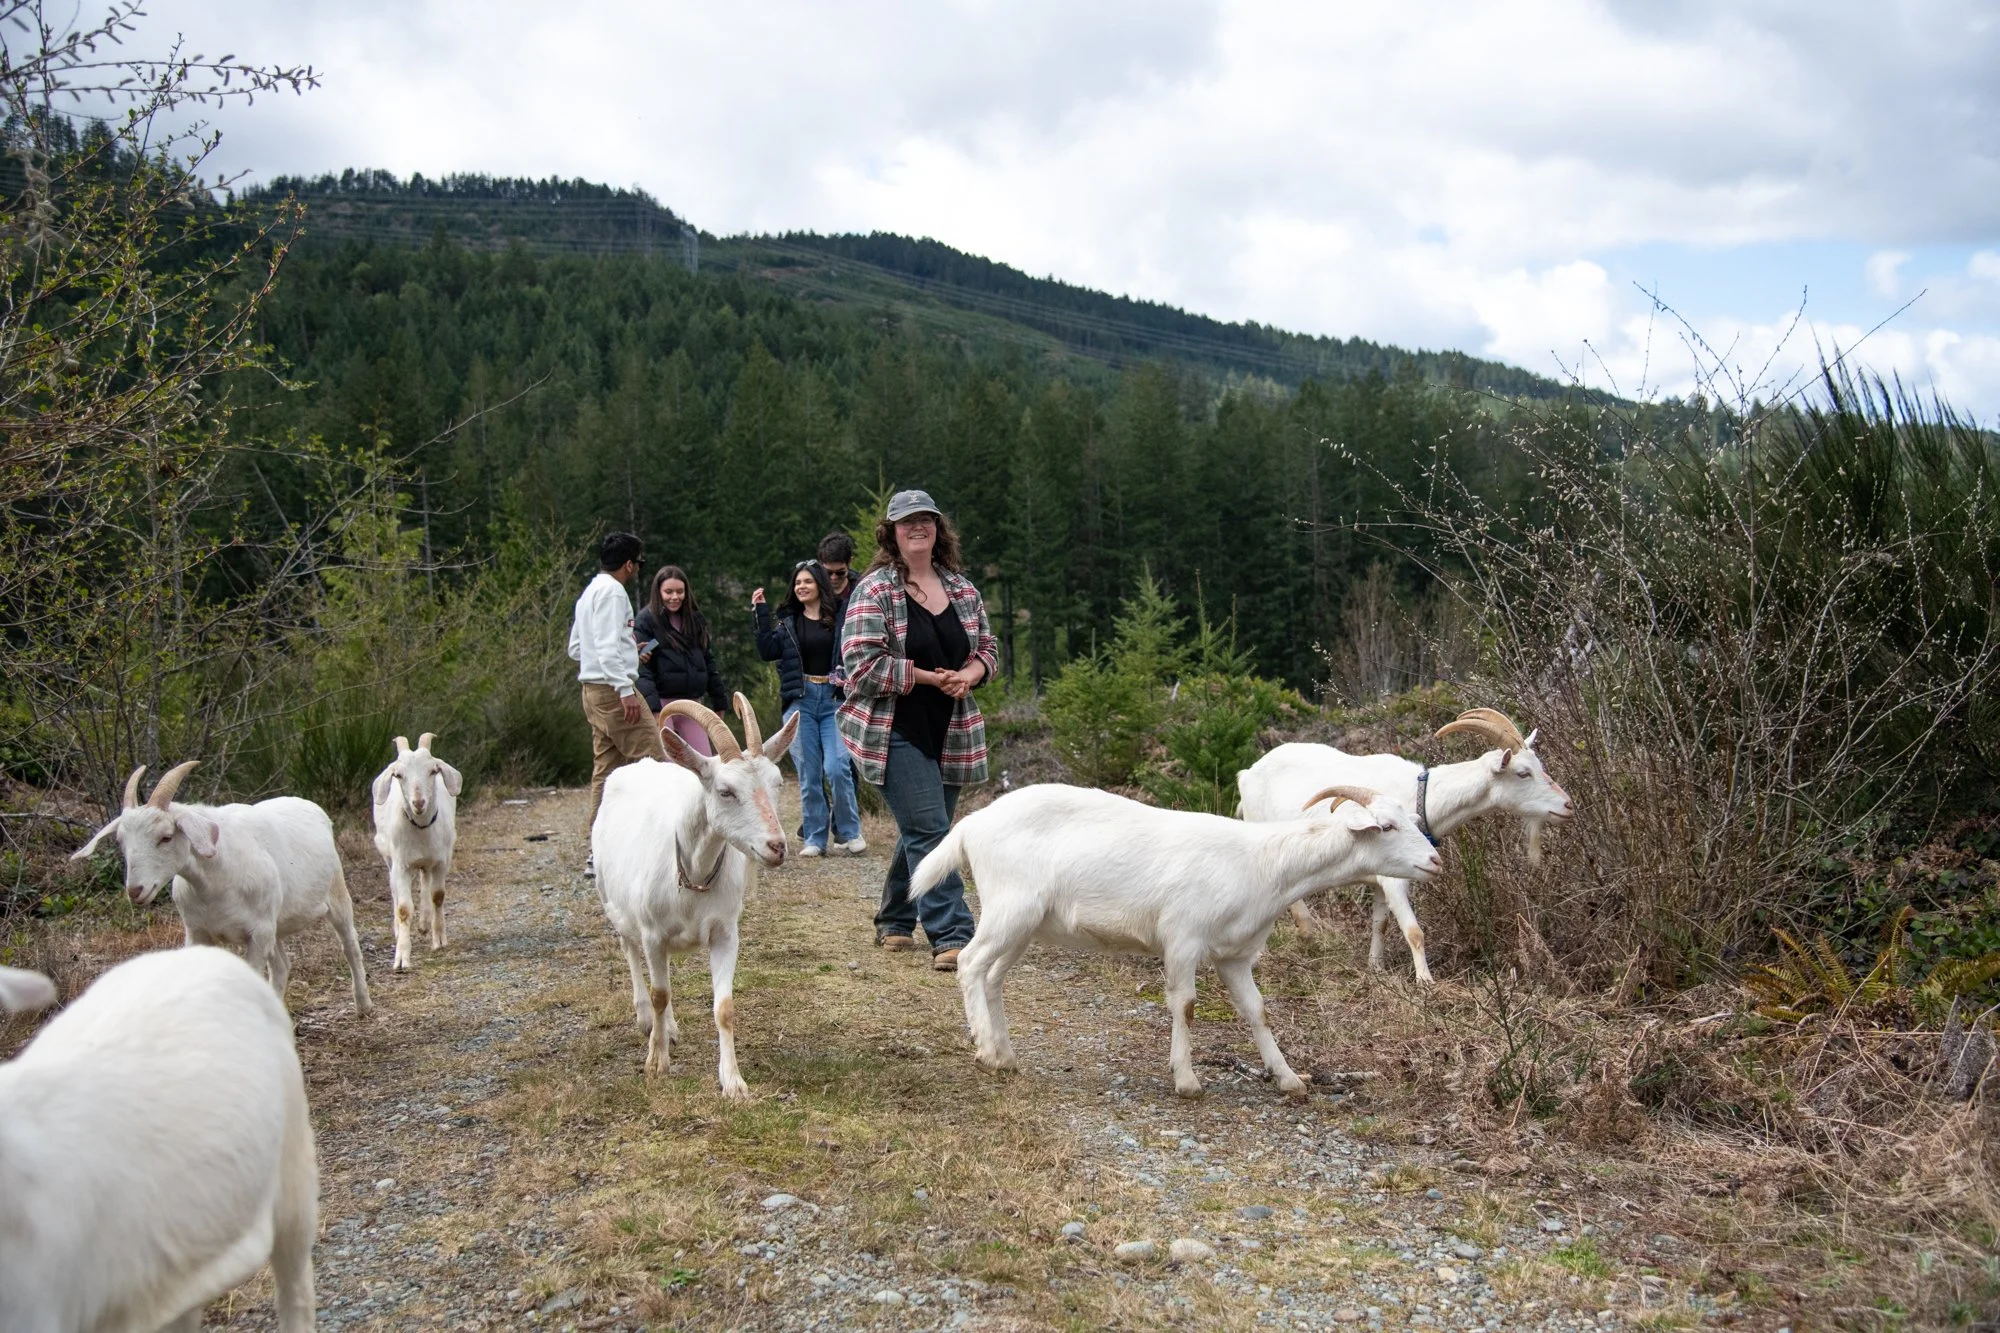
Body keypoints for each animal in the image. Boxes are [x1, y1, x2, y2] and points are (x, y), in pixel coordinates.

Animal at [71, 762, 374, 1016]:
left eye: (166, 837)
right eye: (121, 841)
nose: (136, 890)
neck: (215, 882)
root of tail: (309, 804)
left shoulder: (257, 935)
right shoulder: (198, 932)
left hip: (336, 895)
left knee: (350, 945)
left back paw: (363, 1005)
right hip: (274, 923)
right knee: (281, 967)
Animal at [371, 732, 463, 971]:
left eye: (433, 771)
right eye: (398, 775)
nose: (419, 802)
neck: (421, 827)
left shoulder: (442, 860)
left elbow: (437, 896)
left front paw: (439, 939)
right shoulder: (401, 865)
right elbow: (404, 908)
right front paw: (402, 958)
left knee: (425, 880)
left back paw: (424, 923)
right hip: (388, 856)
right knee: (394, 888)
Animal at [592, 693, 799, 1098]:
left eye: (778, 782)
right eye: (725, 791)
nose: (777, 847)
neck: (694, 874)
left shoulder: (725, 933)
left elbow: (724, 1008)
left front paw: (733, 1082)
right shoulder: (653, 934)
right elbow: (660, 994)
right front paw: (656, 1063)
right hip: (613, 901)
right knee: (631, 954)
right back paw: (649, 1020)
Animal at [909, 783, 1442, 1097]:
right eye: (1386, 826)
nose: (1435, 862)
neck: (1264, 863)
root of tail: (972, 824)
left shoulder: (1236, 954)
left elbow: (1258, 1011)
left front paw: (1288, 1077)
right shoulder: (1184, 939)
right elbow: (1184, 1004)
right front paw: (1186, 1079)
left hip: (1025, 923)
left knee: (993, 975)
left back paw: (1005, 1055)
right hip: (1009, 906)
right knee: (971, 963)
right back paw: (985, 1048)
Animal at [1237, 708, 1574, 982]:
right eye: (1523, 773)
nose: (1568, 805)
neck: (1421, 795)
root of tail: (1247, 773)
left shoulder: (1383, 875)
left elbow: (1381, 924)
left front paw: (1376, 967)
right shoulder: (1395, 878)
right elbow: (1414, 931)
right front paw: (1425, 981)